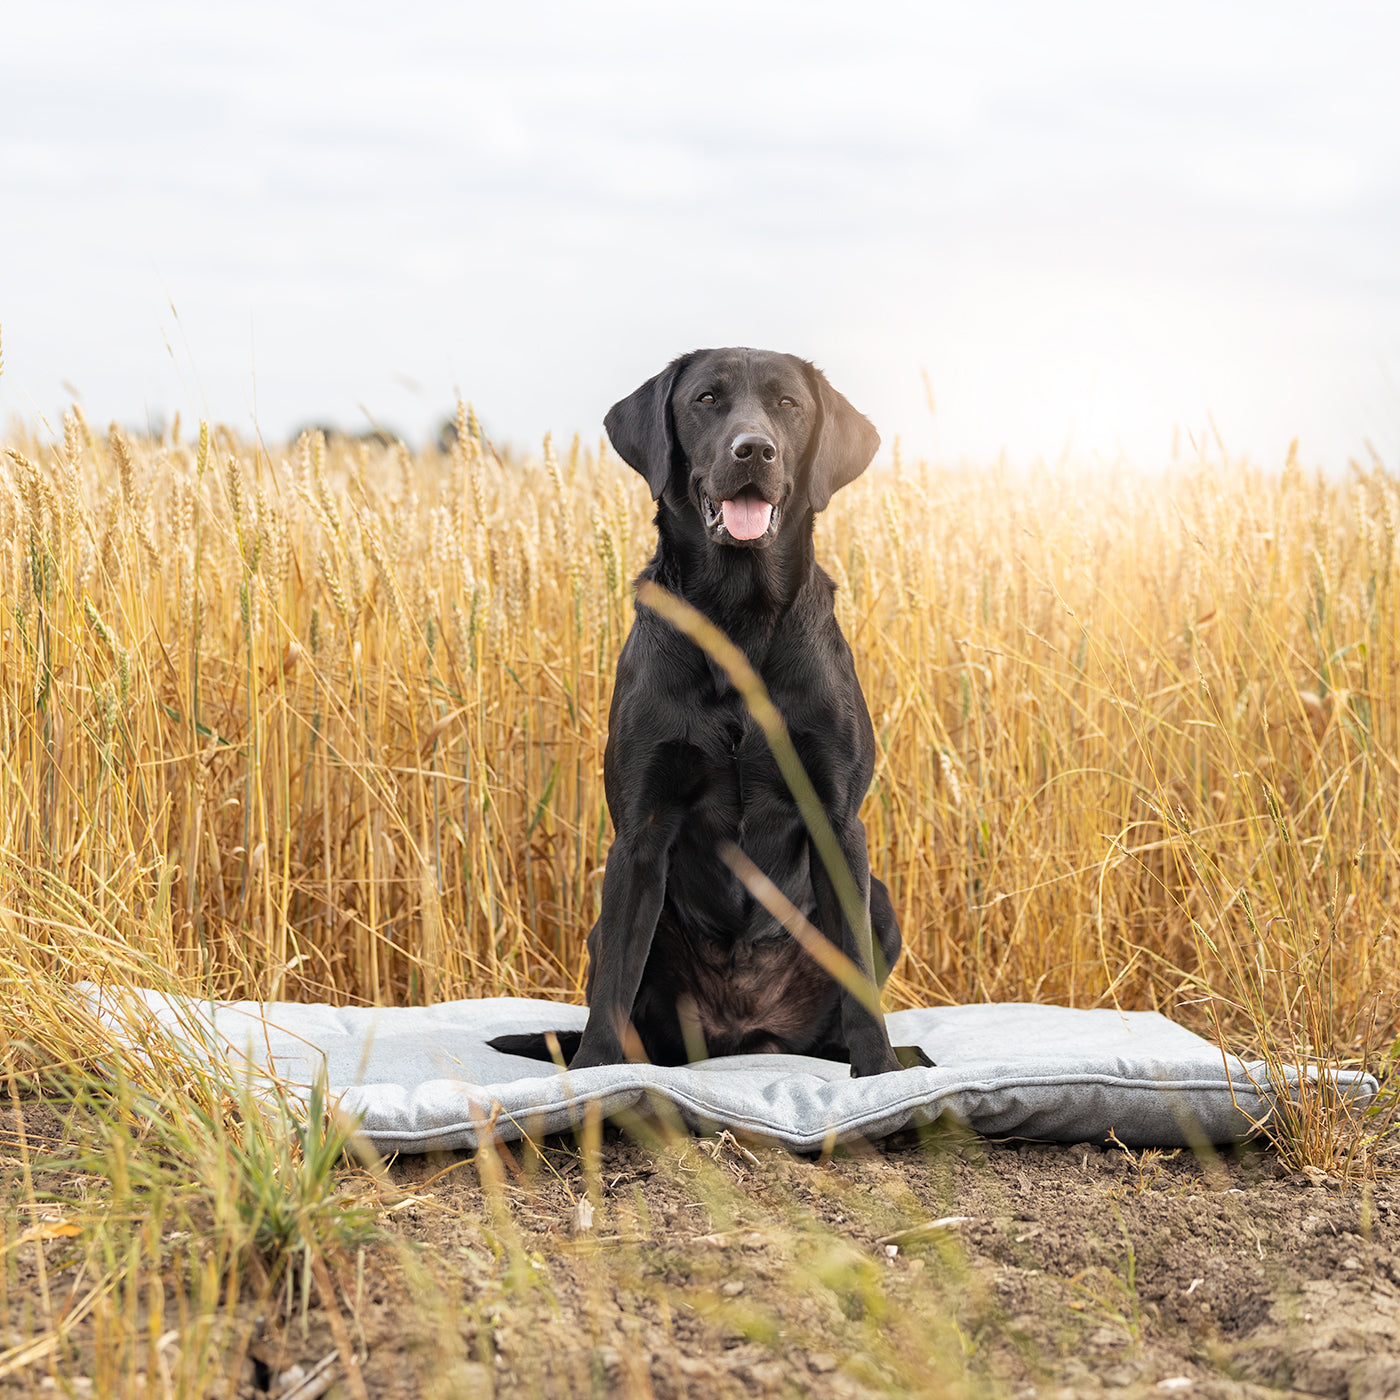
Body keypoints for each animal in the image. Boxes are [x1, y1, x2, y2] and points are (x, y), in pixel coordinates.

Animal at [487, 350, 924, 1069]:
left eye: (787, 404)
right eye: (706, 400)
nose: (755, 449)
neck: (738, 619)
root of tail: (745, 1036)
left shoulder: (838, 819)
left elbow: (857, 975)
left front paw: (881, 1073)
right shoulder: (640, 829)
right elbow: (617, 978)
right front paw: (594, 1074)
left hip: (881, 900)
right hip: (608, 920)